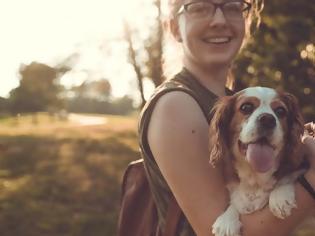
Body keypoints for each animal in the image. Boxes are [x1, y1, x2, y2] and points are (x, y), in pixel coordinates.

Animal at [209, 86, 308, 236]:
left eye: (280, 111)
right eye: (246, 107)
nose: (267, 119)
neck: (255, 178)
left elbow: (289, 176)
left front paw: (279, 196)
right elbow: (236, 202)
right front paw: (227, 220)